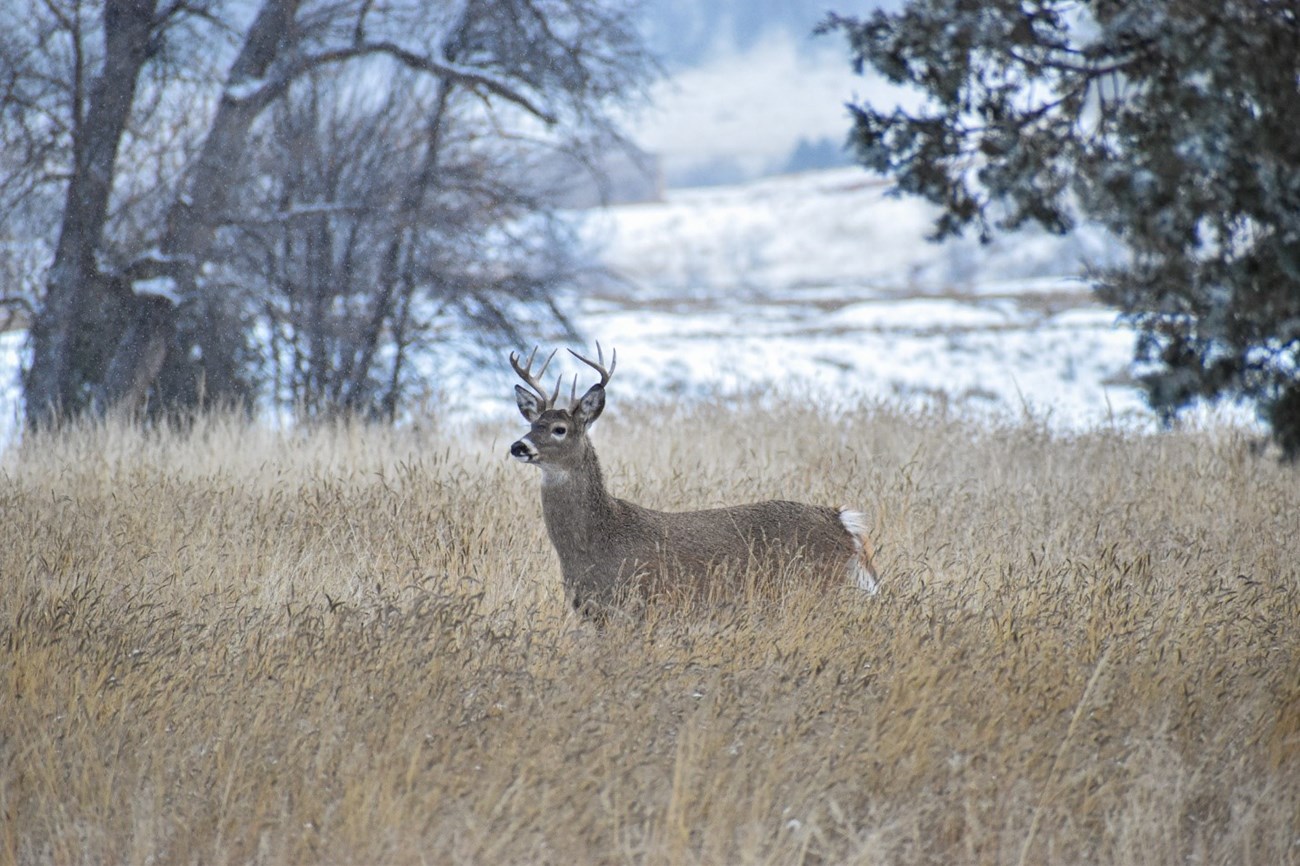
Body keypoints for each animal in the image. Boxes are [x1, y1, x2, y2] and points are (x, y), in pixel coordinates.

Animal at [506, 340, 883, 616]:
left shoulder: (641, 602)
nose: (518, 445)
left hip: (815, 587)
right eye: (531, 423)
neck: (597, 540)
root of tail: (842, 521)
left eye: (559, 429)